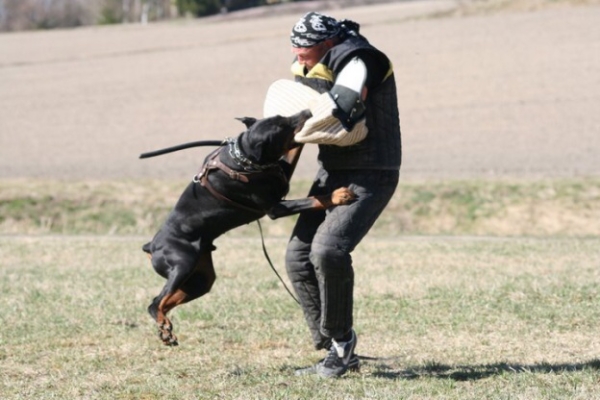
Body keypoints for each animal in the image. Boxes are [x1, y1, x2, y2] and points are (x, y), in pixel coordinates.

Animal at [142, 110, 354, 346]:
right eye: (282, 128)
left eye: (282, 116)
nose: (306, 112)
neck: (244, 159)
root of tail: (151, 246)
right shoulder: (275, 208)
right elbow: (314, 199)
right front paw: (339, 195)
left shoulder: (282, 170)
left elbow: (293, 151)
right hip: (182, 264)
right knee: (155, 303)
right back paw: (164, 326)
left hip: (200, 279)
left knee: (167, 299)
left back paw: (165, 331)